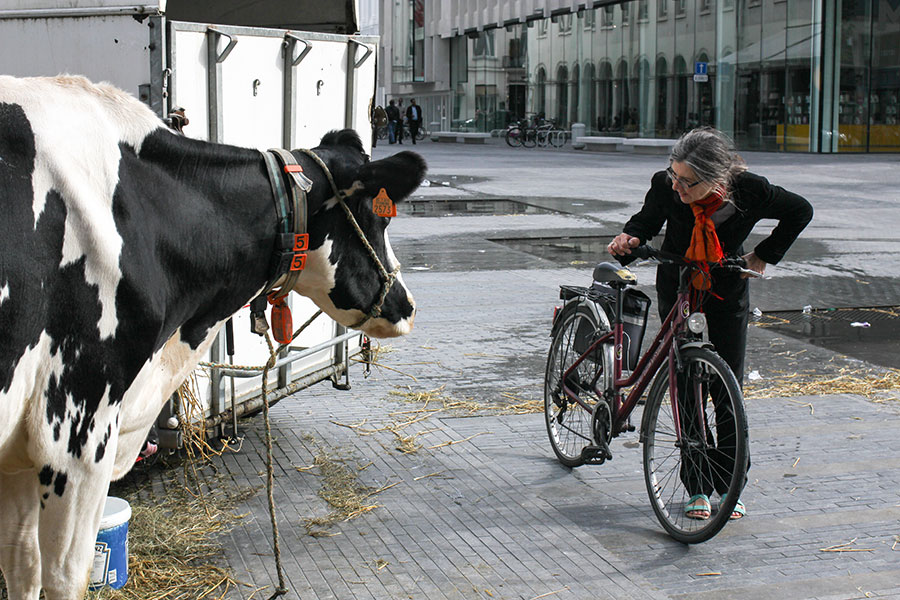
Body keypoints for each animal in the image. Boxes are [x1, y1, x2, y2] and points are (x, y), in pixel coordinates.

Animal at [0, 74, 428, 596]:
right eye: (380, 217)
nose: (407, 306)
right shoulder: (74, 432)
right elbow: (64, 576)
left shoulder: (20, 453)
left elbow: (21, 567)